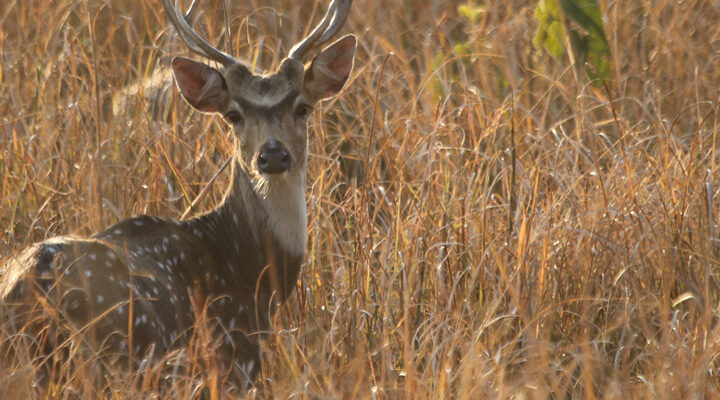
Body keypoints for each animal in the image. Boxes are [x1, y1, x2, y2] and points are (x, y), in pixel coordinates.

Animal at [0, 0, 358, 390]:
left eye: (303, 107)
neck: (252, 271)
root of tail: (26, 294)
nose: (273, 155)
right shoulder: (234, 358)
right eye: (233, 114)